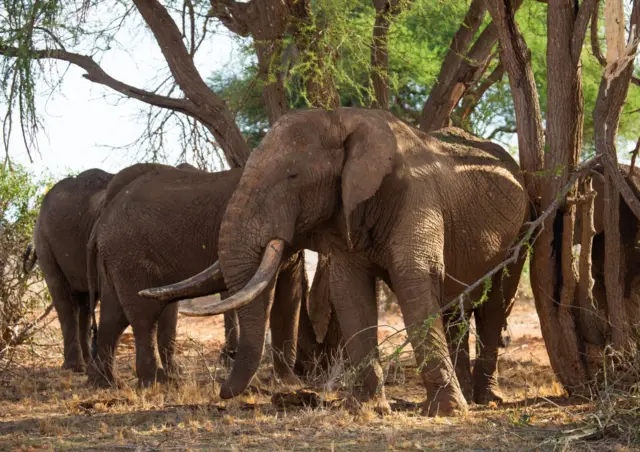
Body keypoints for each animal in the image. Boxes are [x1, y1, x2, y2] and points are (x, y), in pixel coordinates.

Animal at [24, 163, 199, 373]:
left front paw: (175, 373)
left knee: (85, 302)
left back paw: (86, 364)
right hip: (44, 243)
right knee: (64, 299)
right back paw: (75, 367)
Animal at [86, 163, 311, 388]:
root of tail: (100, 222)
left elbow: (290, 296)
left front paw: (289, 383)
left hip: (117, 258)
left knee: (114, 316)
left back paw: (105, 383)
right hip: (128, 255)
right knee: (144, 316)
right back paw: (157, 382)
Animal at [141, 108, 529, 416]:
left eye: (293, 176)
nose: (222, 394)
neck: (344, 119)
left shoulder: (417, 198)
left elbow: (415, 280)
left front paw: (446, 412)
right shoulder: (344, 211)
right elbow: (350, 292)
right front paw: (367, 409)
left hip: (523, 225)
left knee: (496, 303)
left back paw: (485, 401)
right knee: (453, 308)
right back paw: (468, 394)